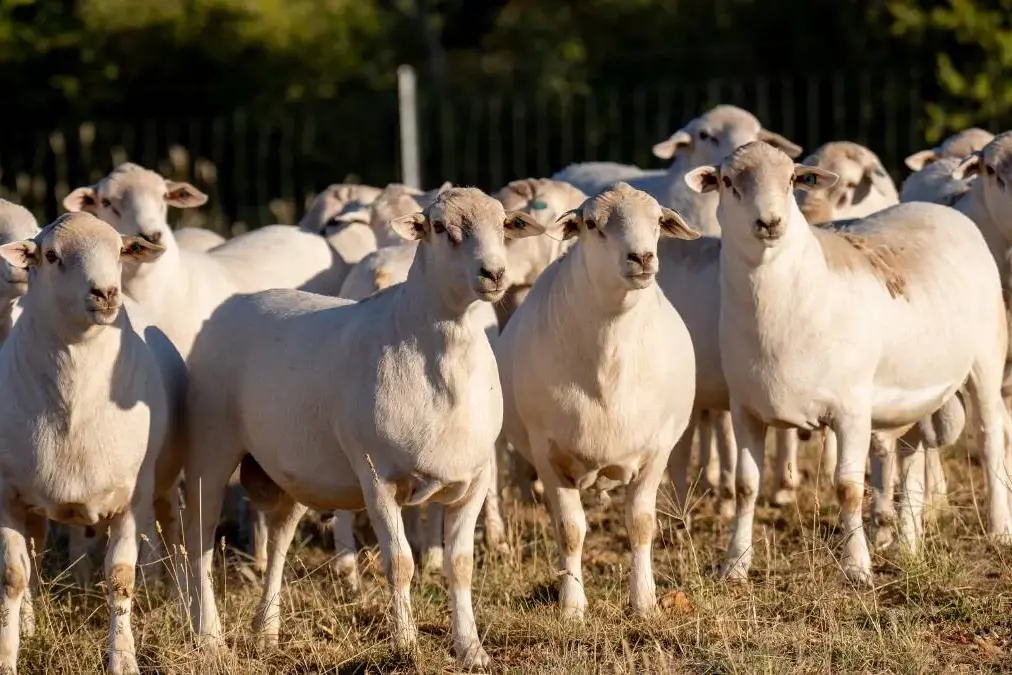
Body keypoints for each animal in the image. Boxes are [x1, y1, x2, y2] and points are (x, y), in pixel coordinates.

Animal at [0, 213, 183, 674]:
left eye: (119, 251)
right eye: (50, 255)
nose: (105, 293)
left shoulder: (131, 499)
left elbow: (120, 579)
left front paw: (124, 659)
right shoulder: (6, 496)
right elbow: (12, 577)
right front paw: (7, 657)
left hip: (164, 484)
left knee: (174, 535)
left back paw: (179, 603)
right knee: (32, 562)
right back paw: (30, 623)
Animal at [182, 187, 542, 667]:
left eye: (504, 225)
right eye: (440, 227)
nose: (494, 273)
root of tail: (233, 304)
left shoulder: (475, 478)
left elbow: (461, 565)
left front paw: (471, 649)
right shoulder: (377, 477)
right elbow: (401, 563)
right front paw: (406, 644)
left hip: (293, 468)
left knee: (279, 539)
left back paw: (267, 632)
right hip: (211, 446)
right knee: (200, 539)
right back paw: (210, 638)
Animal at [498, 182, 700, 620]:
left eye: (658, 221)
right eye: (591, 224)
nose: (642, 257)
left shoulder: (657, 450)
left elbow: (640, 524)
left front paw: (645, 603)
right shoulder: (547, 453)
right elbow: (570, 530)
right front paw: (572, 607)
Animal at [684, 141, 1011, 582]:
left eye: (791, 180)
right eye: (728, 182)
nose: (769, 222)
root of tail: (942, 210)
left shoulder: (851, 408)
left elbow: (848, 487)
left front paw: (857, 567)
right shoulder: (745, 408)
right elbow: (746, 486)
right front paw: (734, 565)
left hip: (986, 359)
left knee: (991, 435)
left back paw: (998, 529)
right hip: (910, 392)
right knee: (911, 451)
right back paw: (907, 545)